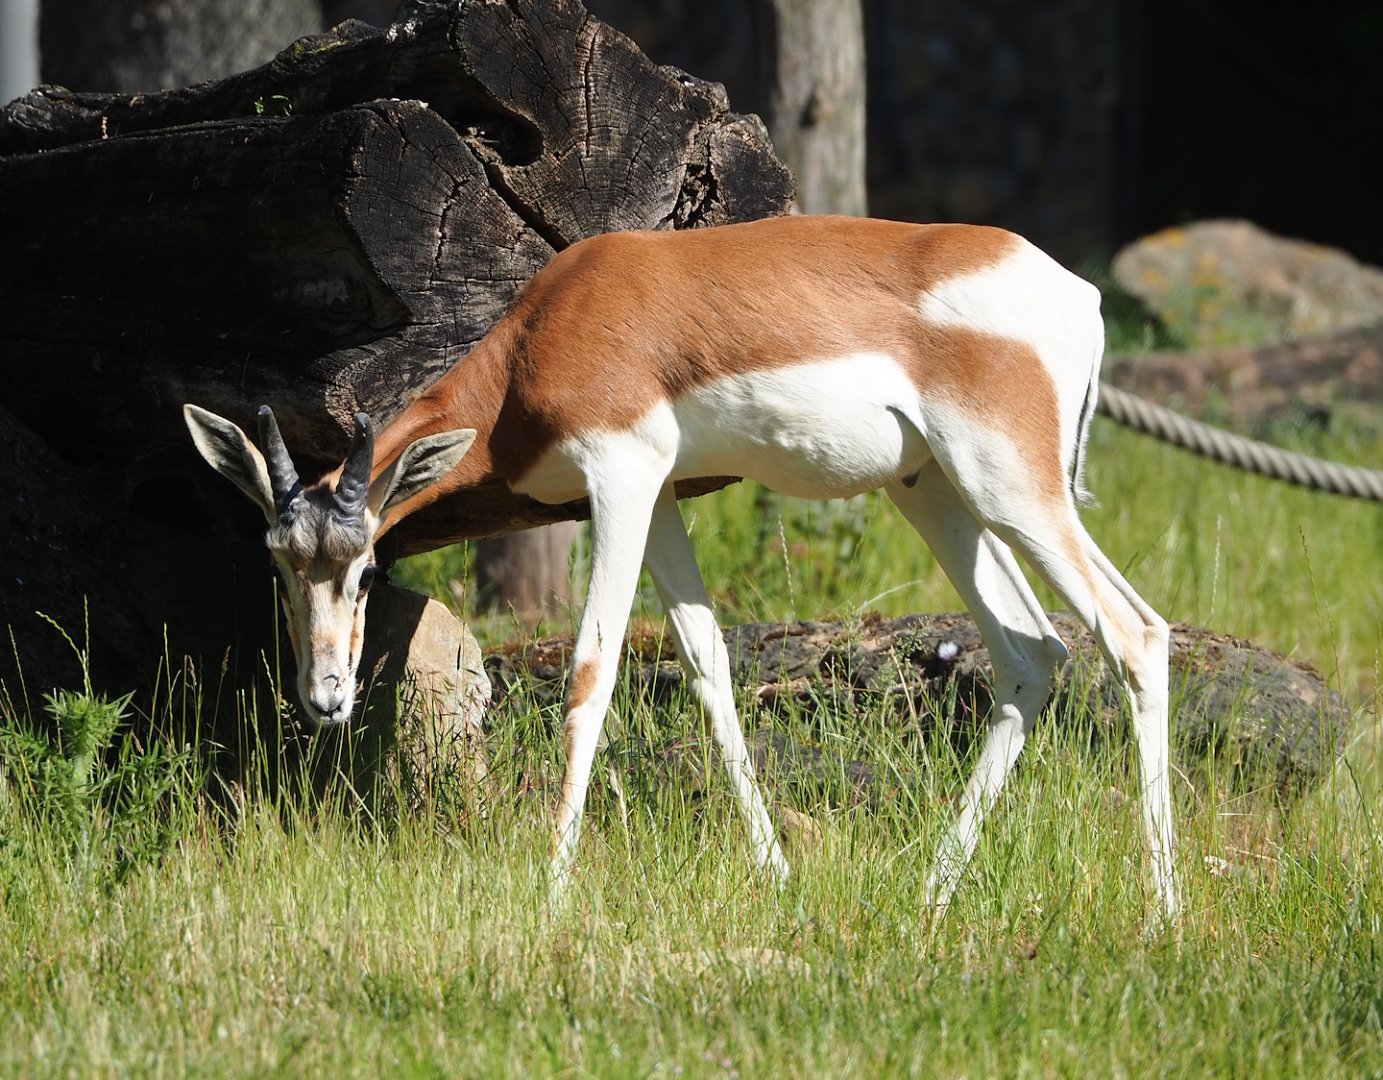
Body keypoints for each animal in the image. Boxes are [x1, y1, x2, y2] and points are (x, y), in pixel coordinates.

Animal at [184, 214, 1177, 923]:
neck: (543, 335)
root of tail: (1076, 293)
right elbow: (708, 662)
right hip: (933, 488)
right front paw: (776, 872)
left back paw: (1162, 911)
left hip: (1009, 487)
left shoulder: (619, 475)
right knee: (1031, 651)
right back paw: (931, 891)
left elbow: (591, 669)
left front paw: (551, 892)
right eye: (280, 567)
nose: (324, 698)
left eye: (363, 571)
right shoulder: (657, 494)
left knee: (1135, 632)